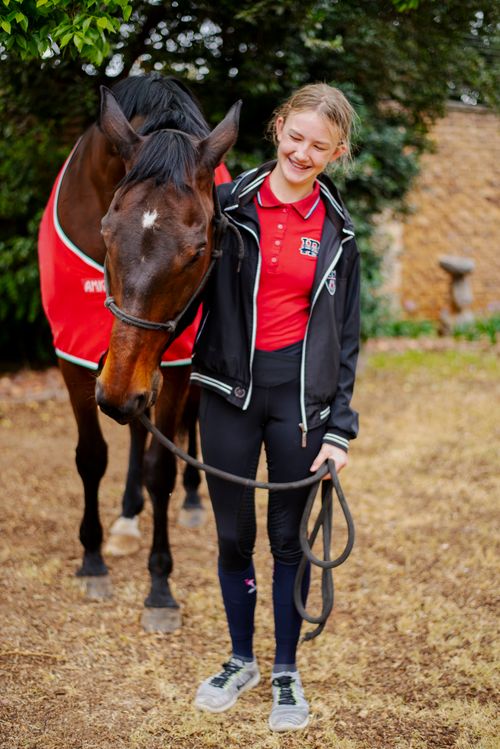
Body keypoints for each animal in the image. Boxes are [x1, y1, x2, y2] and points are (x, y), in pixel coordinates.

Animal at [37, 71, 240, 632]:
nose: (120, 391)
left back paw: (191, 499)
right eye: (106, 232)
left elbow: (160, 468)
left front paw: (160, 587)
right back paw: (127, 518)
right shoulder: (75, 357)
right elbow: (92, 456)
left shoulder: (171, 365)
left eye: (198, 250)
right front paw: (92, 560)